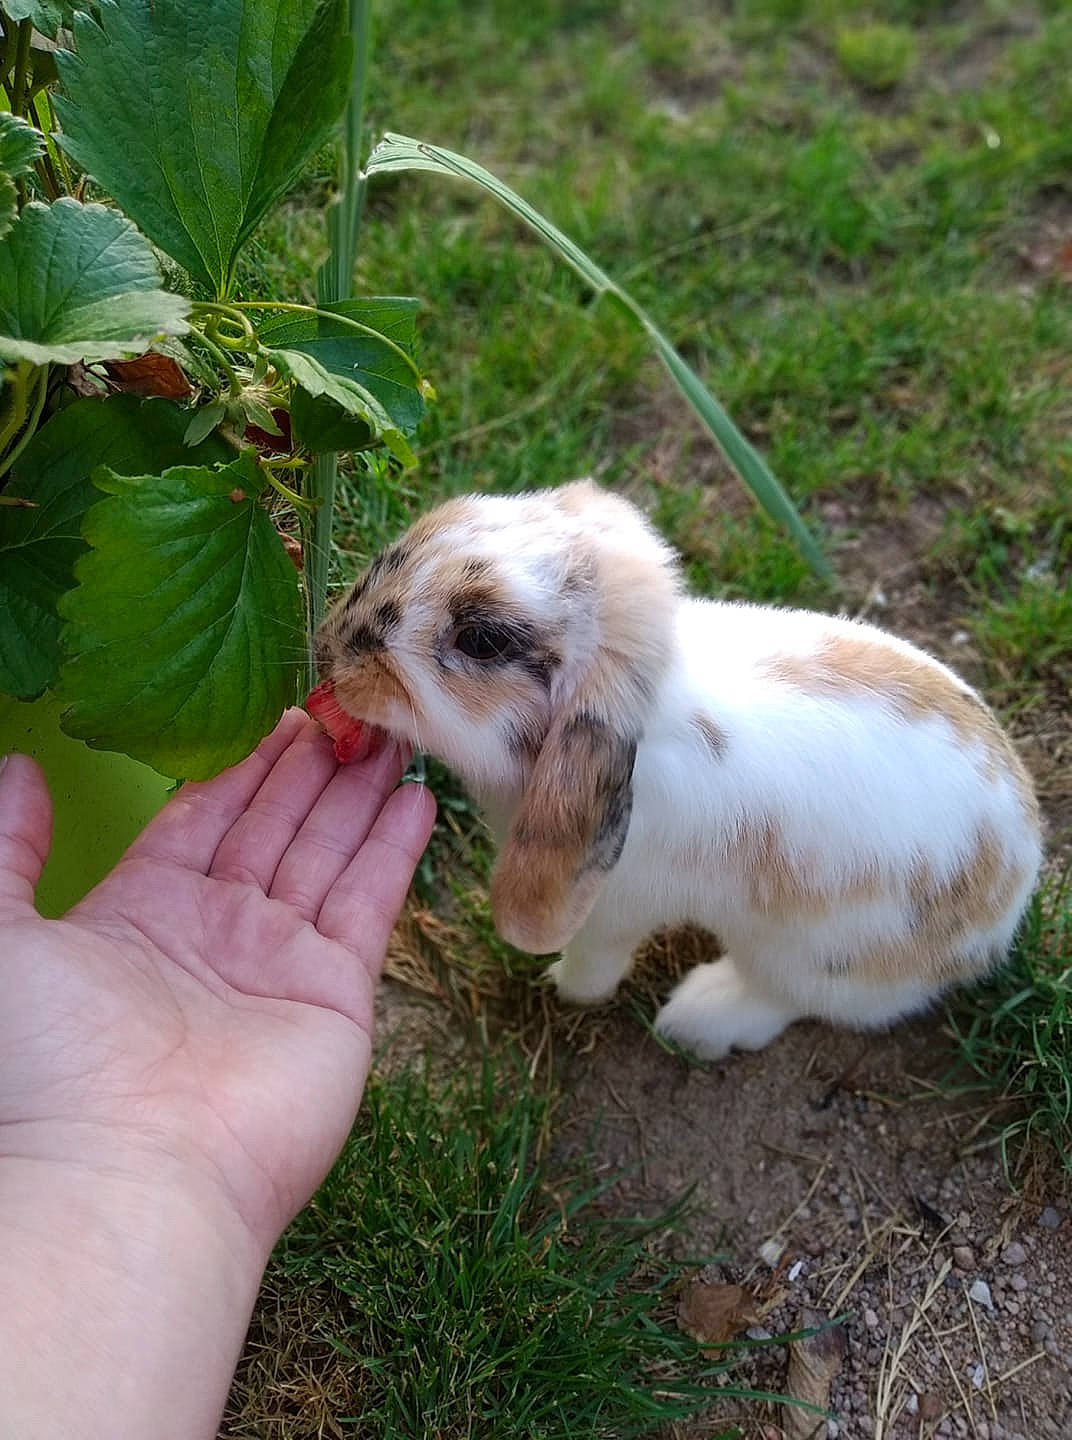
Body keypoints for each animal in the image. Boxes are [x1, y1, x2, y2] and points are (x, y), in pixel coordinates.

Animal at [314, 479, 1043, 1059]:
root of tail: (1007, 903)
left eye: (482, 640)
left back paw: (696, 1017)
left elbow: (596, 959)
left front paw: (565, 986)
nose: (329, 647)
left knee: (788, 1001)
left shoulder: (613, 909)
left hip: (810, 958)